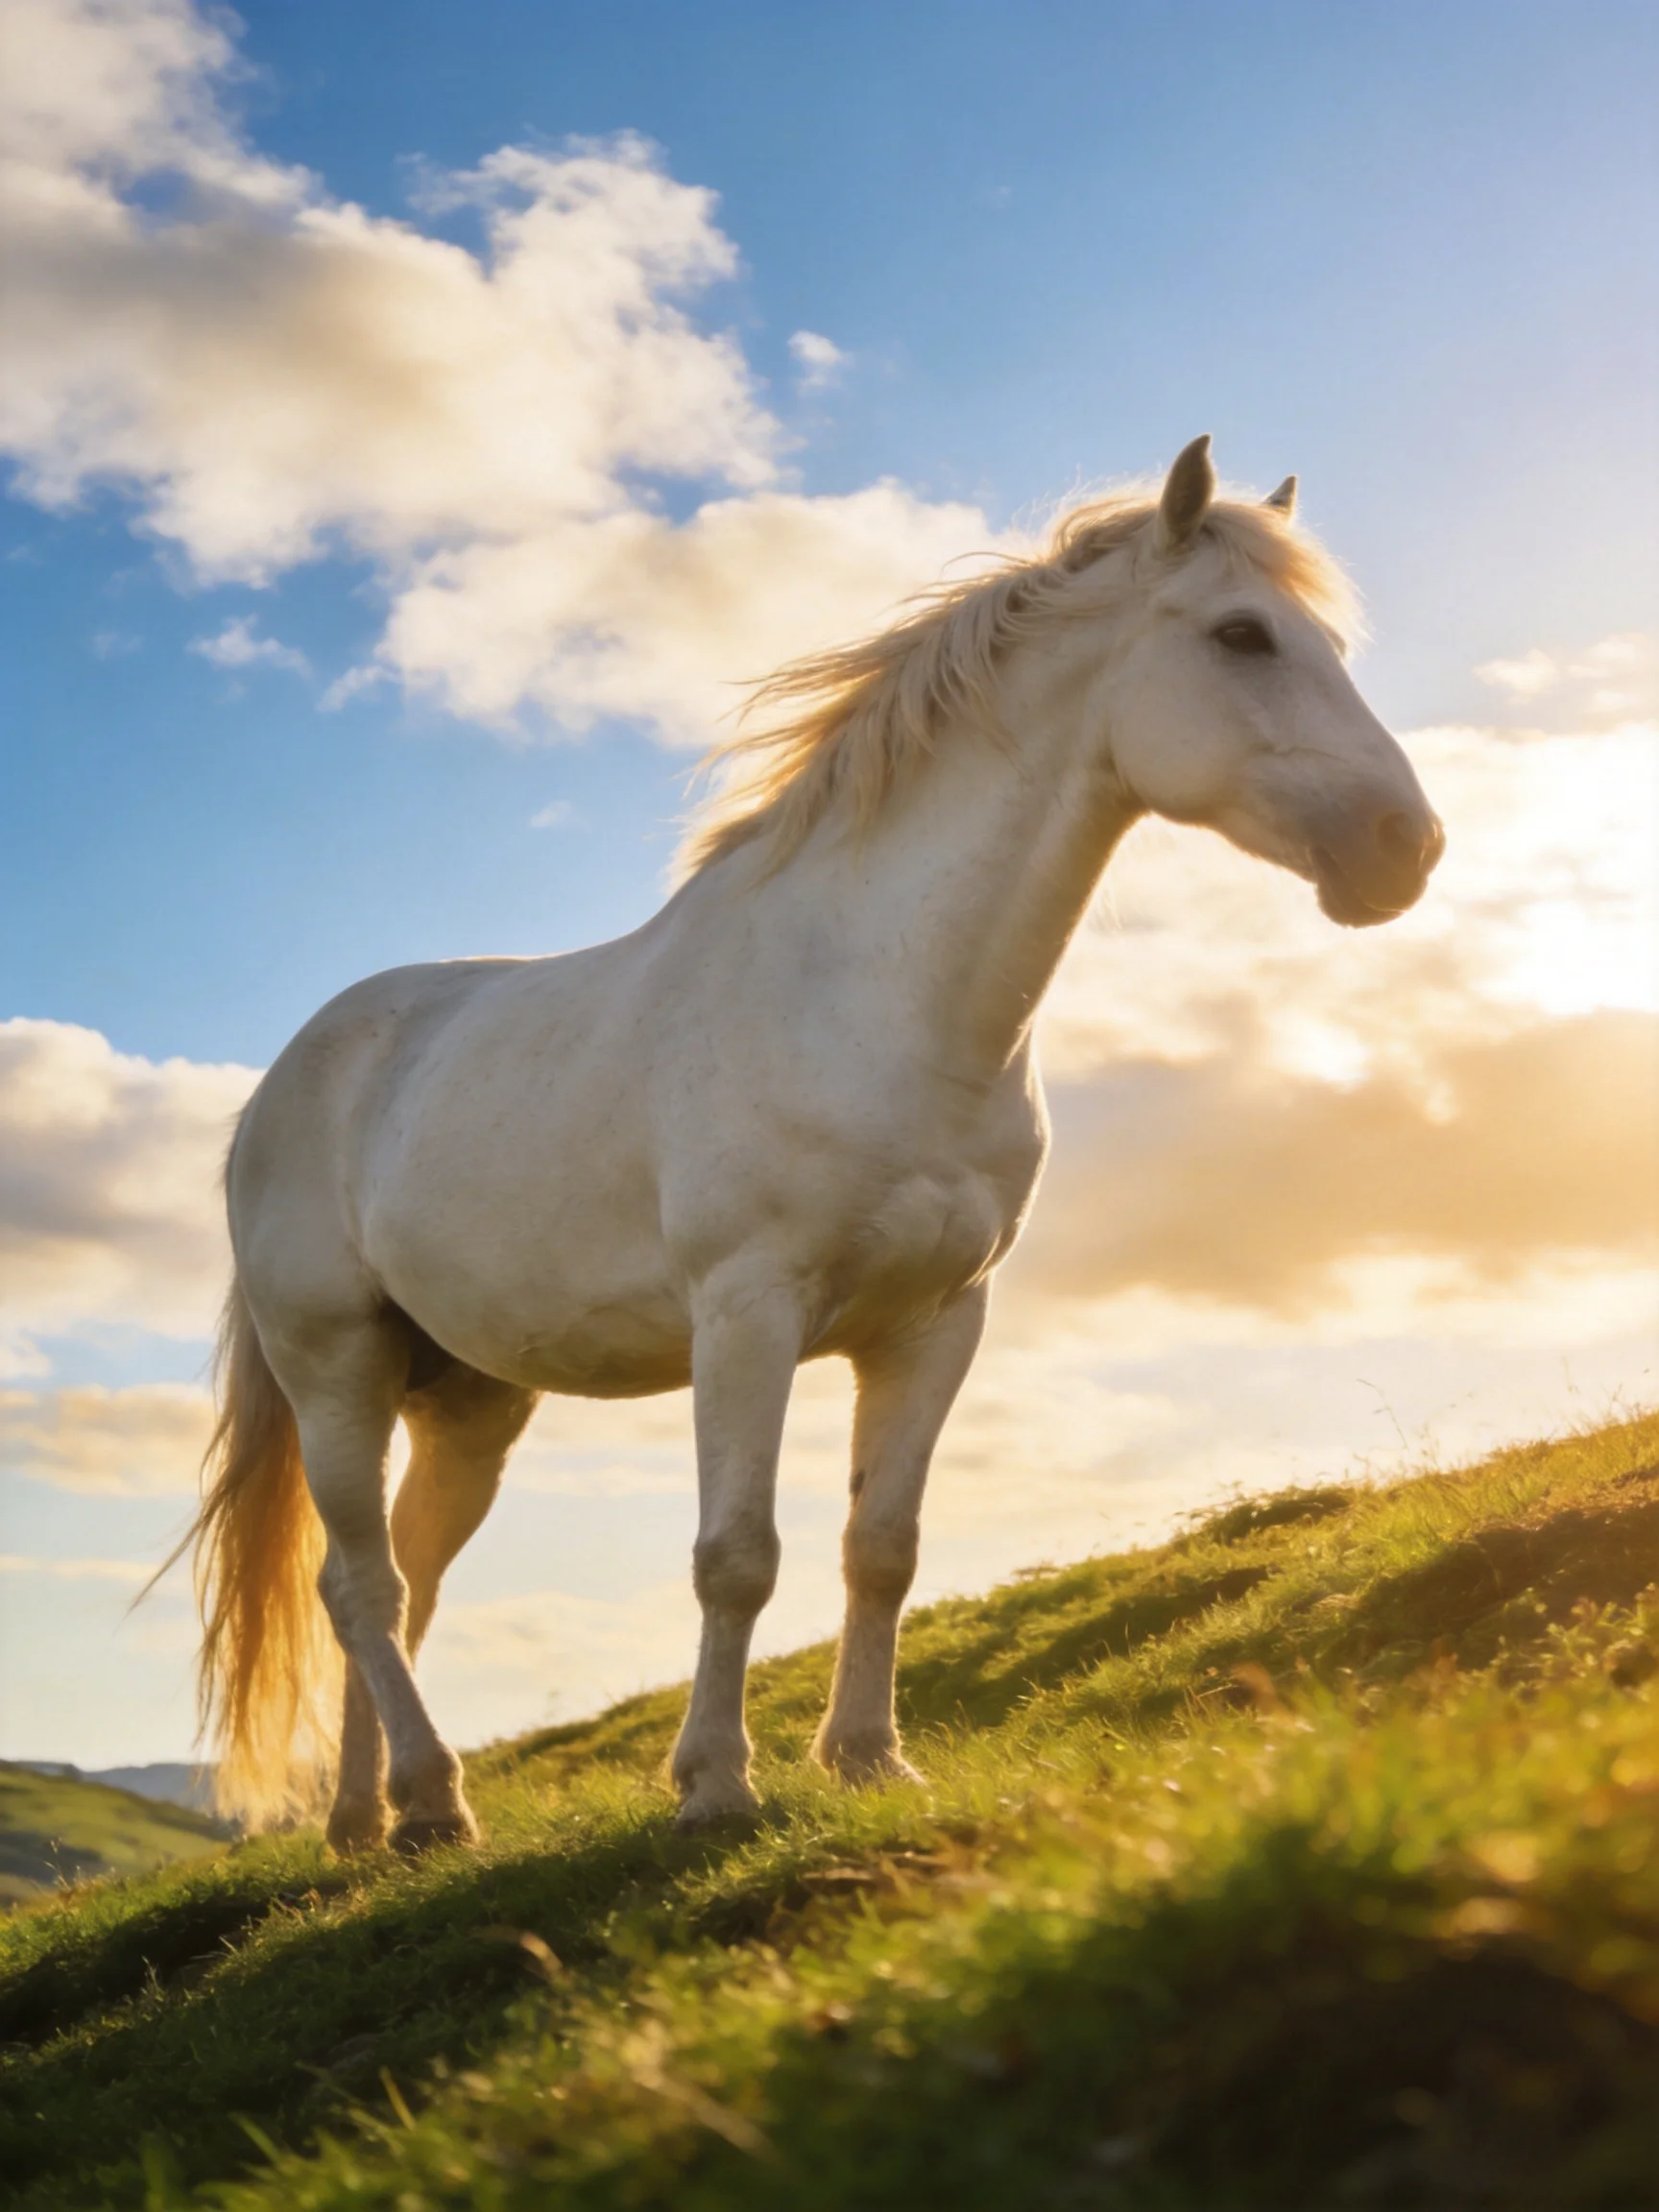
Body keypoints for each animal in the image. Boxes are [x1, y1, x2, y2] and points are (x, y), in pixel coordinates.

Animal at [180, 436, 1443, 1850]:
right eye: (1241, 634)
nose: (1407, 847)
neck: (872, 999)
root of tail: (281, 1085)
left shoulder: (937, 1322)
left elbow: (879, 1546)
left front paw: (869, 1760)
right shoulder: (748, 1314)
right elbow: (737, 1558)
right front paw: (716, 1784)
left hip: (467, 1402)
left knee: (397, 1583)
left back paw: (372, 1821)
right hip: (335, 1368)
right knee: (364, 1587)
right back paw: (434, 1805)